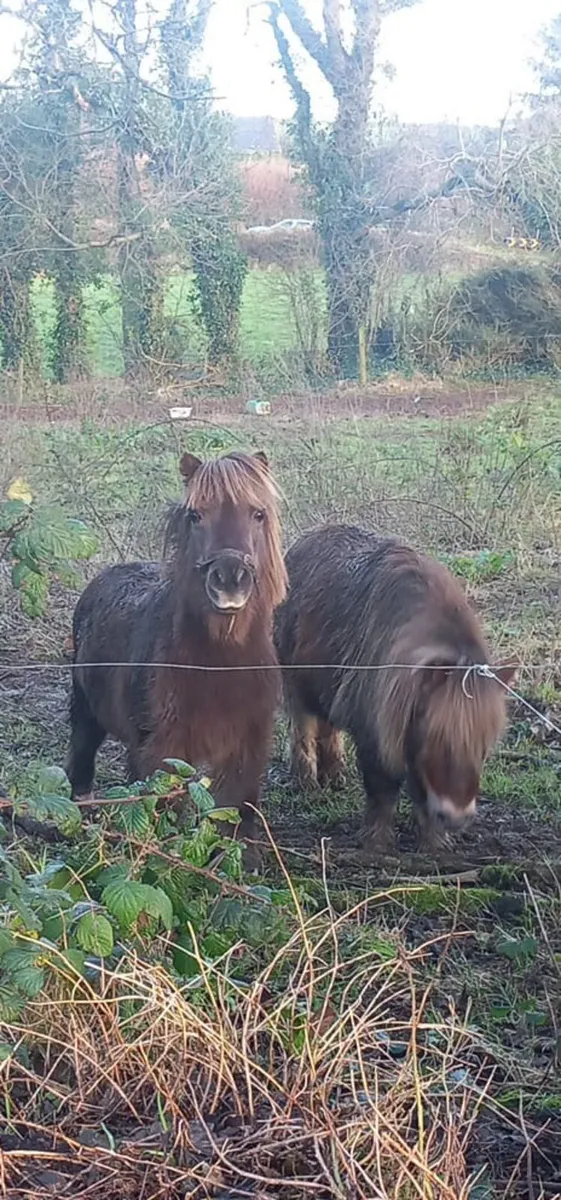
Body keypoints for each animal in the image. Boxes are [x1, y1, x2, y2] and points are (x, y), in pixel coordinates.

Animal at [67, 450, 288, 861]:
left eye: (258, 514)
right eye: (196, 515)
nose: (229, 580)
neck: (218, 666)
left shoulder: (247, 749)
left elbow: (238, 814)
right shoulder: (161, 753)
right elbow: (161, 814)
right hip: (87, 712)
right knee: (81, 762)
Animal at [275, 525, 515, 852]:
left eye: (484, 746)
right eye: (439, 739)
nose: (456, 818)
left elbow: (420, 792)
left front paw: (434, 842)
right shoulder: (376, 729)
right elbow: (383, 790)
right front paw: (377, 843)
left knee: (329, 726)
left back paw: (336, 776)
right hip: (295, 683)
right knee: (303, 729)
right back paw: (308, 784)